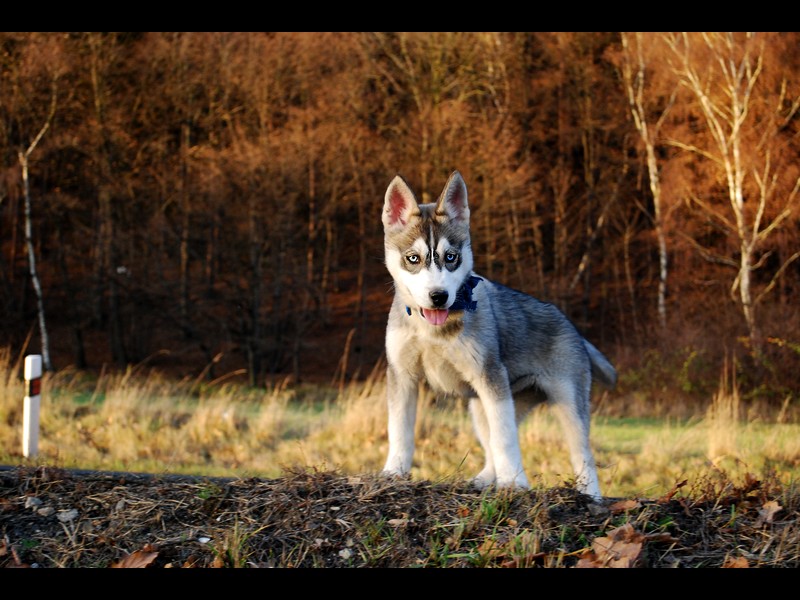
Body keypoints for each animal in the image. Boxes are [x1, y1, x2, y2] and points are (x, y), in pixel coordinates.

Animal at [378, 171, 616, 500]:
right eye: (413, 258)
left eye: (450, 257)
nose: (439, 296)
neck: (434, 331)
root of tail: (573, 329)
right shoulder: (402, 375)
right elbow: (399, 429)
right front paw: (394, 472)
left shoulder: (489, 375)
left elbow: (505, 439)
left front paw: (514, 484)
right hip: (484, 404)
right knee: (492, 442)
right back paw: (485, 478)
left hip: (563, 400)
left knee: (582, 455)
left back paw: (590, 496)